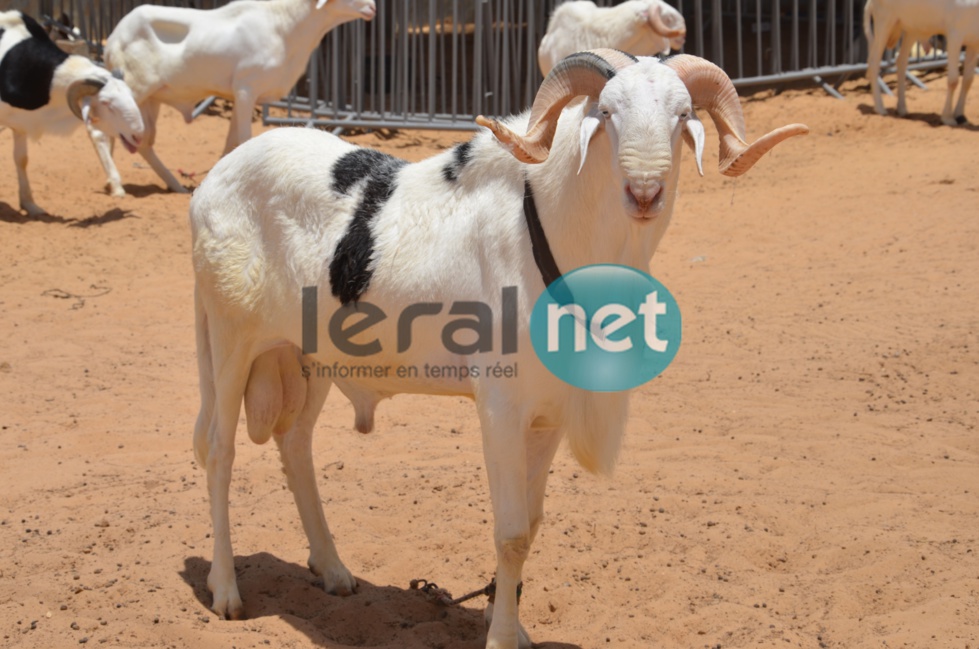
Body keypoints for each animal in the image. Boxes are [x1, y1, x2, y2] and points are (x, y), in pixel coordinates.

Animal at [87, 0, 376, 195]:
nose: (372, 7)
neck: (285, 25)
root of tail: (112, 40)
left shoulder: (239, 95)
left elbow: (230, 144)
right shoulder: (247, 88)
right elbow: (244, 138)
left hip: (151, 100)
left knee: (138, 139)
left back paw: (170, 184)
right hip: (134, 89)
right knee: (102, 133)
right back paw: (117, 185)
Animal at [188, 48, 808, 644]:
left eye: (682, 116)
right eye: (607, 113)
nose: (645, 191)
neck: (554, 235)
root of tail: (211, 185)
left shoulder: (548, 417)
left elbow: (530, 527)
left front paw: (507, 620)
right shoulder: (501, 410)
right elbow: (510, 533)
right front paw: (502, 636)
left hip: (309, 356)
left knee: (295, 445)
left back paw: (333, 569)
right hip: (229, 339)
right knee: (220, 450)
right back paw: (226, 590)